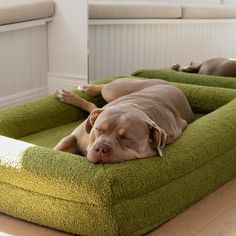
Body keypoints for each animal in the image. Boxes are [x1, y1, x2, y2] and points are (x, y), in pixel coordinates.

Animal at [54, 78, 194, 163]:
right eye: (98, 130)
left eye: (126, 138)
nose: (101, 148)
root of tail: (170, 83)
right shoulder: (75, 136)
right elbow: (60, 147)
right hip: (115, 90)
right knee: (103, 90)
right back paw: (81, 90)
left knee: (94, 104)